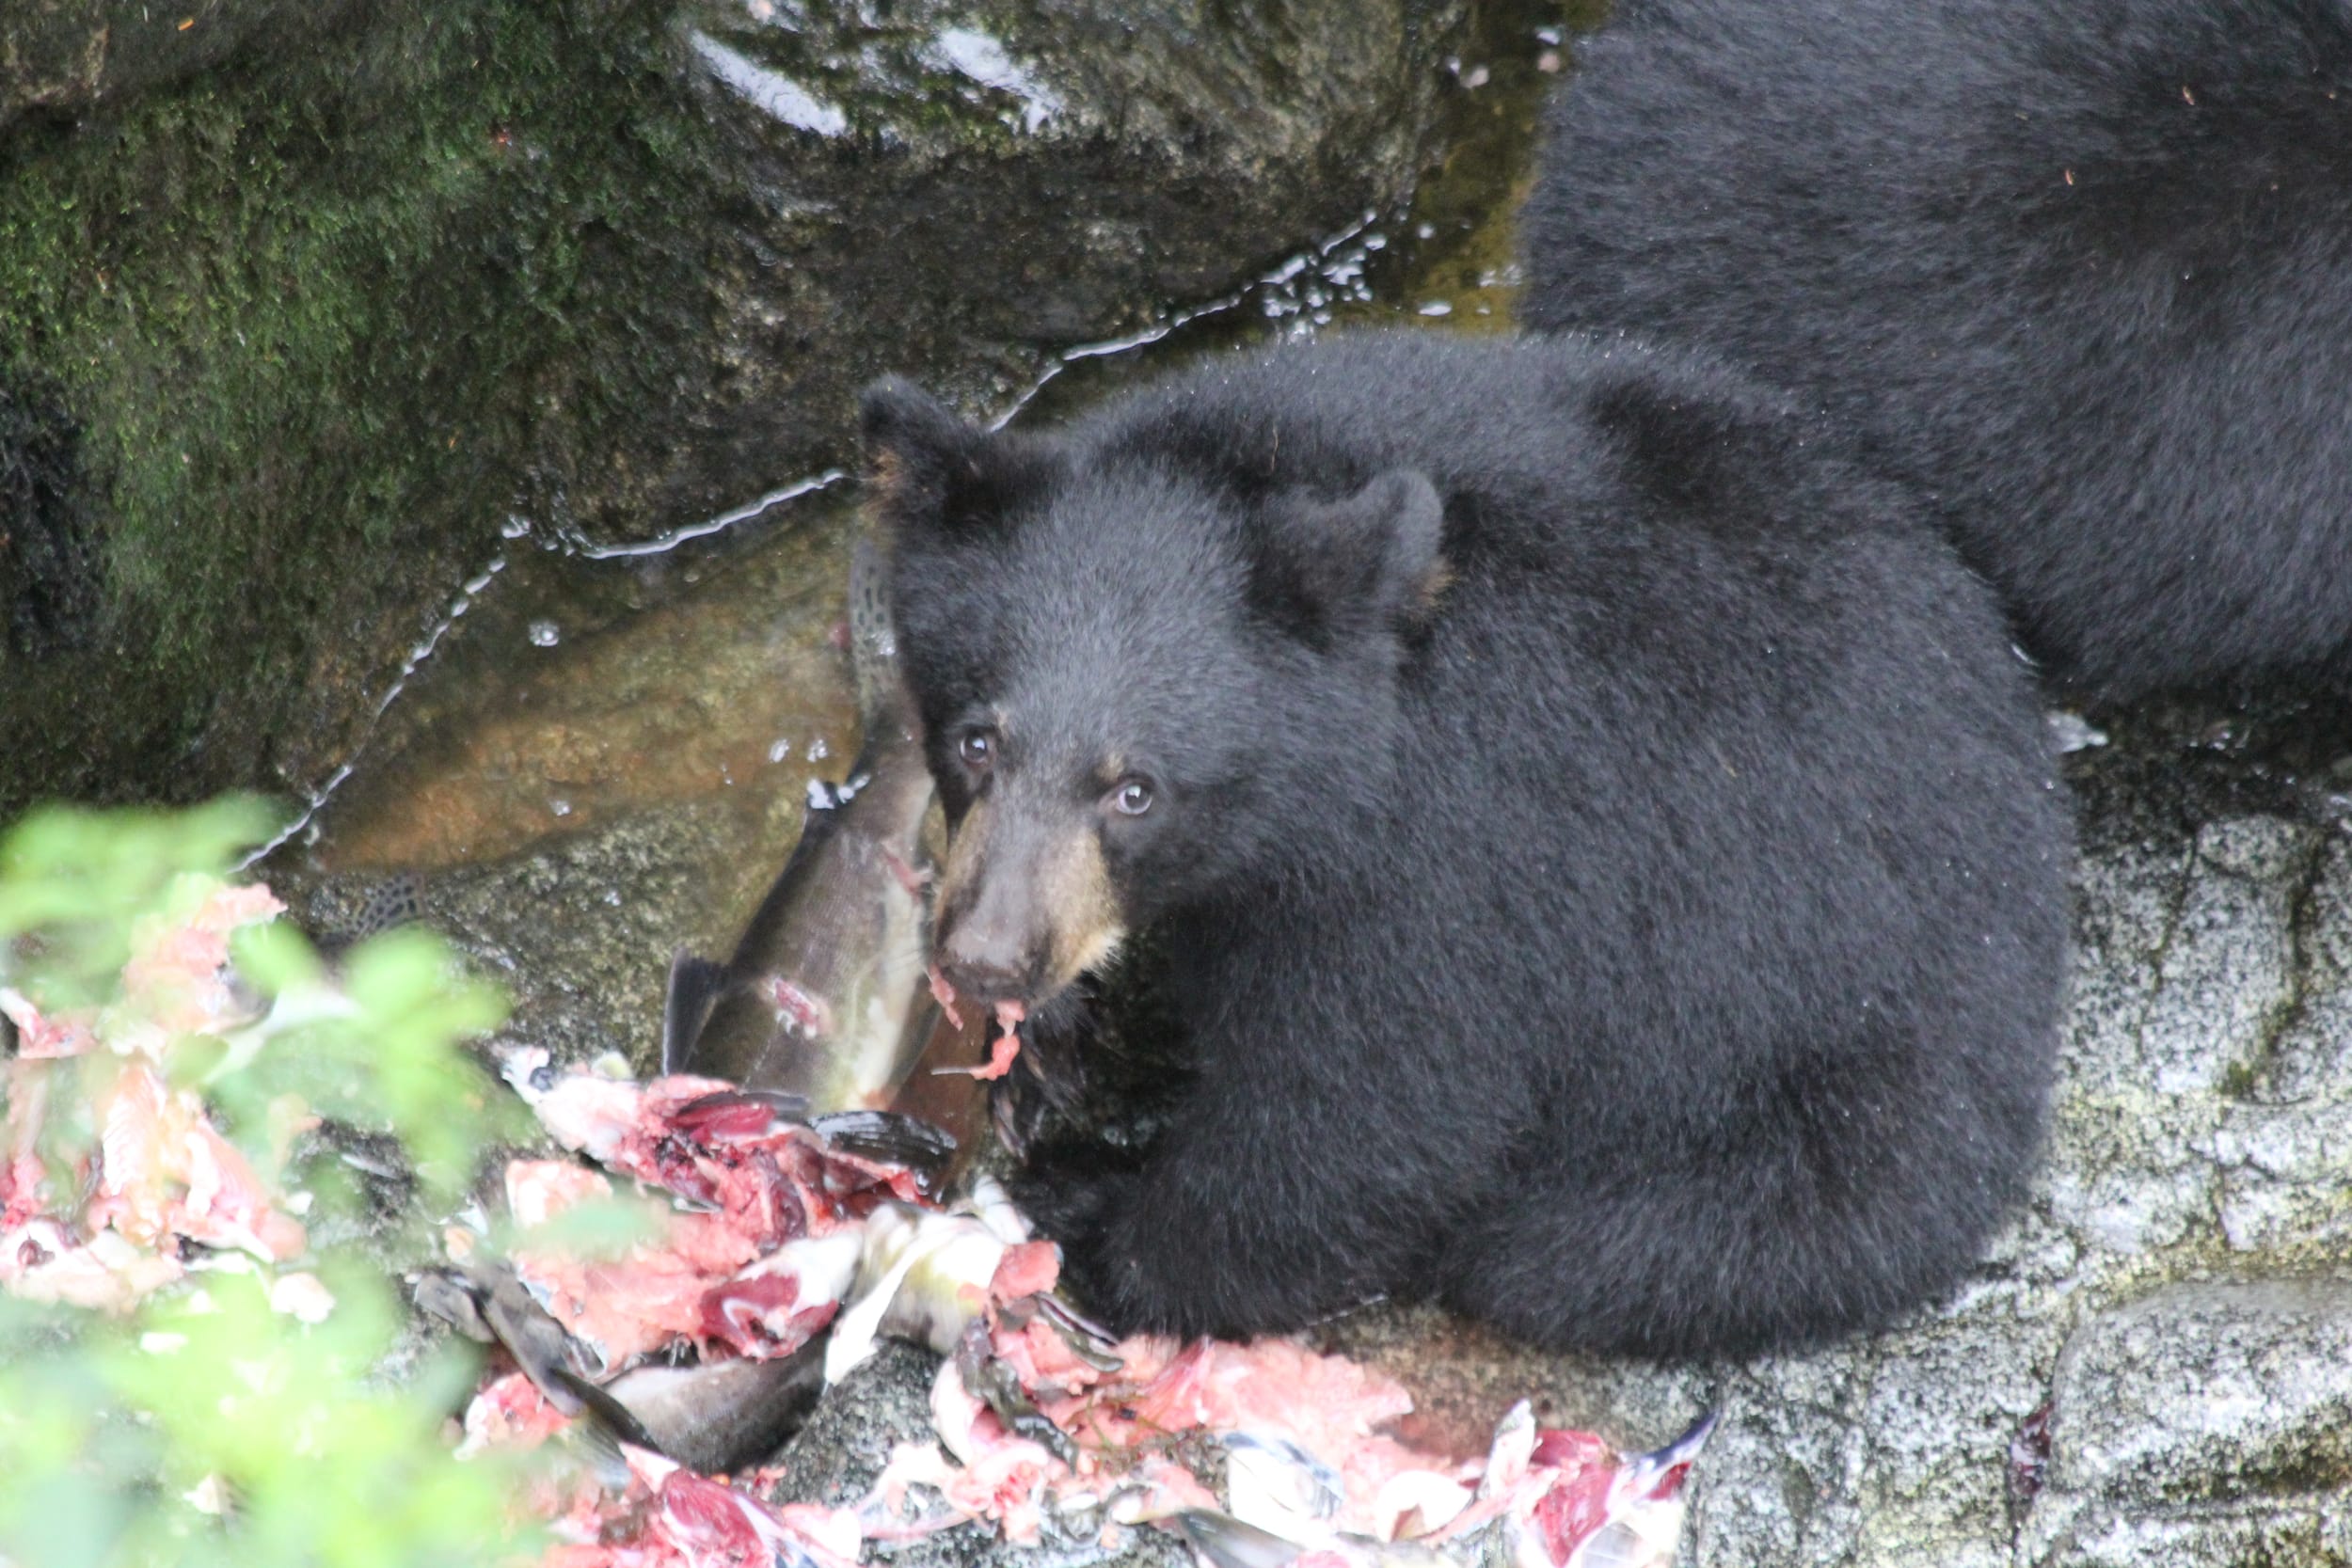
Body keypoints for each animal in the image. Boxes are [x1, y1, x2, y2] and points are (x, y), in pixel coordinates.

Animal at [861, 333, 2060, 1363]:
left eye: (1135, 789)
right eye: (975, 738)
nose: (987, 957)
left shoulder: (1458, 836)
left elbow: (1375, 1096)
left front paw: (1091, 1206)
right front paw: (1061, 1052)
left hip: (1827, 1079)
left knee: (1593, 1249)